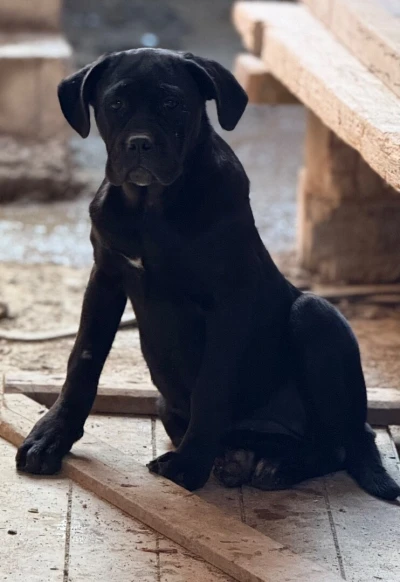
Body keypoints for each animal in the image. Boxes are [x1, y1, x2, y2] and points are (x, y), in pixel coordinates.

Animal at [16, 48, 400, 500]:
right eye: (116, 104)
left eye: (173, 103)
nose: (140, 143)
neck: (151, 207)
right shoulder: (105, 278)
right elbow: (83, 359)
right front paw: (51, 438)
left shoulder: (228, 299)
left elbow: (212, 383)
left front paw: (189, 463)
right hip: (170, 403)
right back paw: (240, 459)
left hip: (316, 315)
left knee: (340, 441)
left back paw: (278, 467)